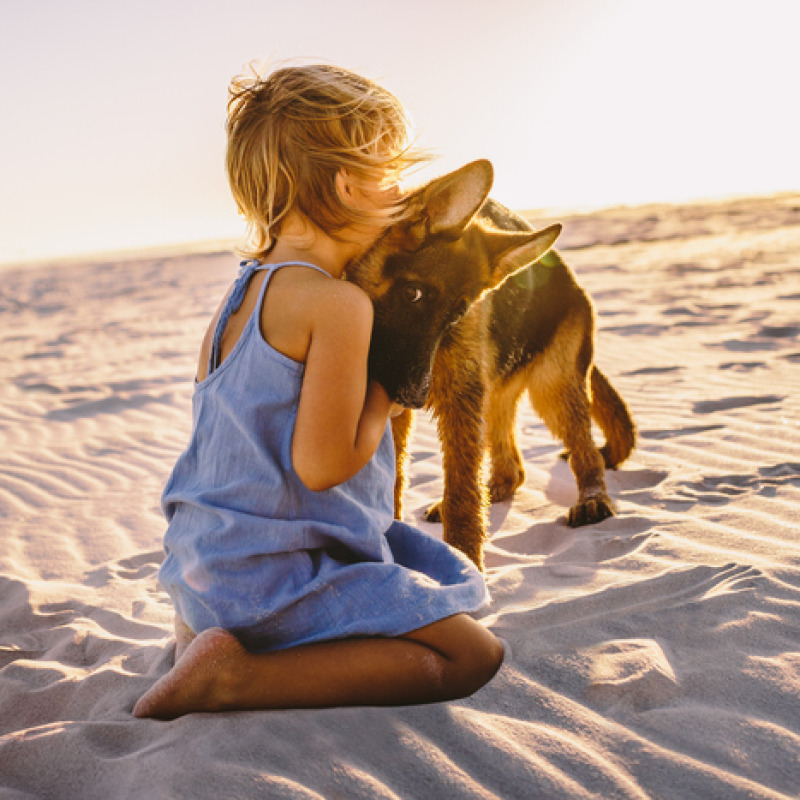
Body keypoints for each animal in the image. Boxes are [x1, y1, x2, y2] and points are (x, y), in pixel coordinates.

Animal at [346, 159, 636, 568]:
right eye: (413, 293)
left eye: (457, 314)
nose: (414, 397)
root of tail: (571, 282)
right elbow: (396, 478)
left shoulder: (456, 401)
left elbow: (462, 494)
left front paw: (467, 559)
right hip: (495, 394)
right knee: (511, 464)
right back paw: (495, 488)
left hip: (553, 390)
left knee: (586, 452)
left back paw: (593, 499)